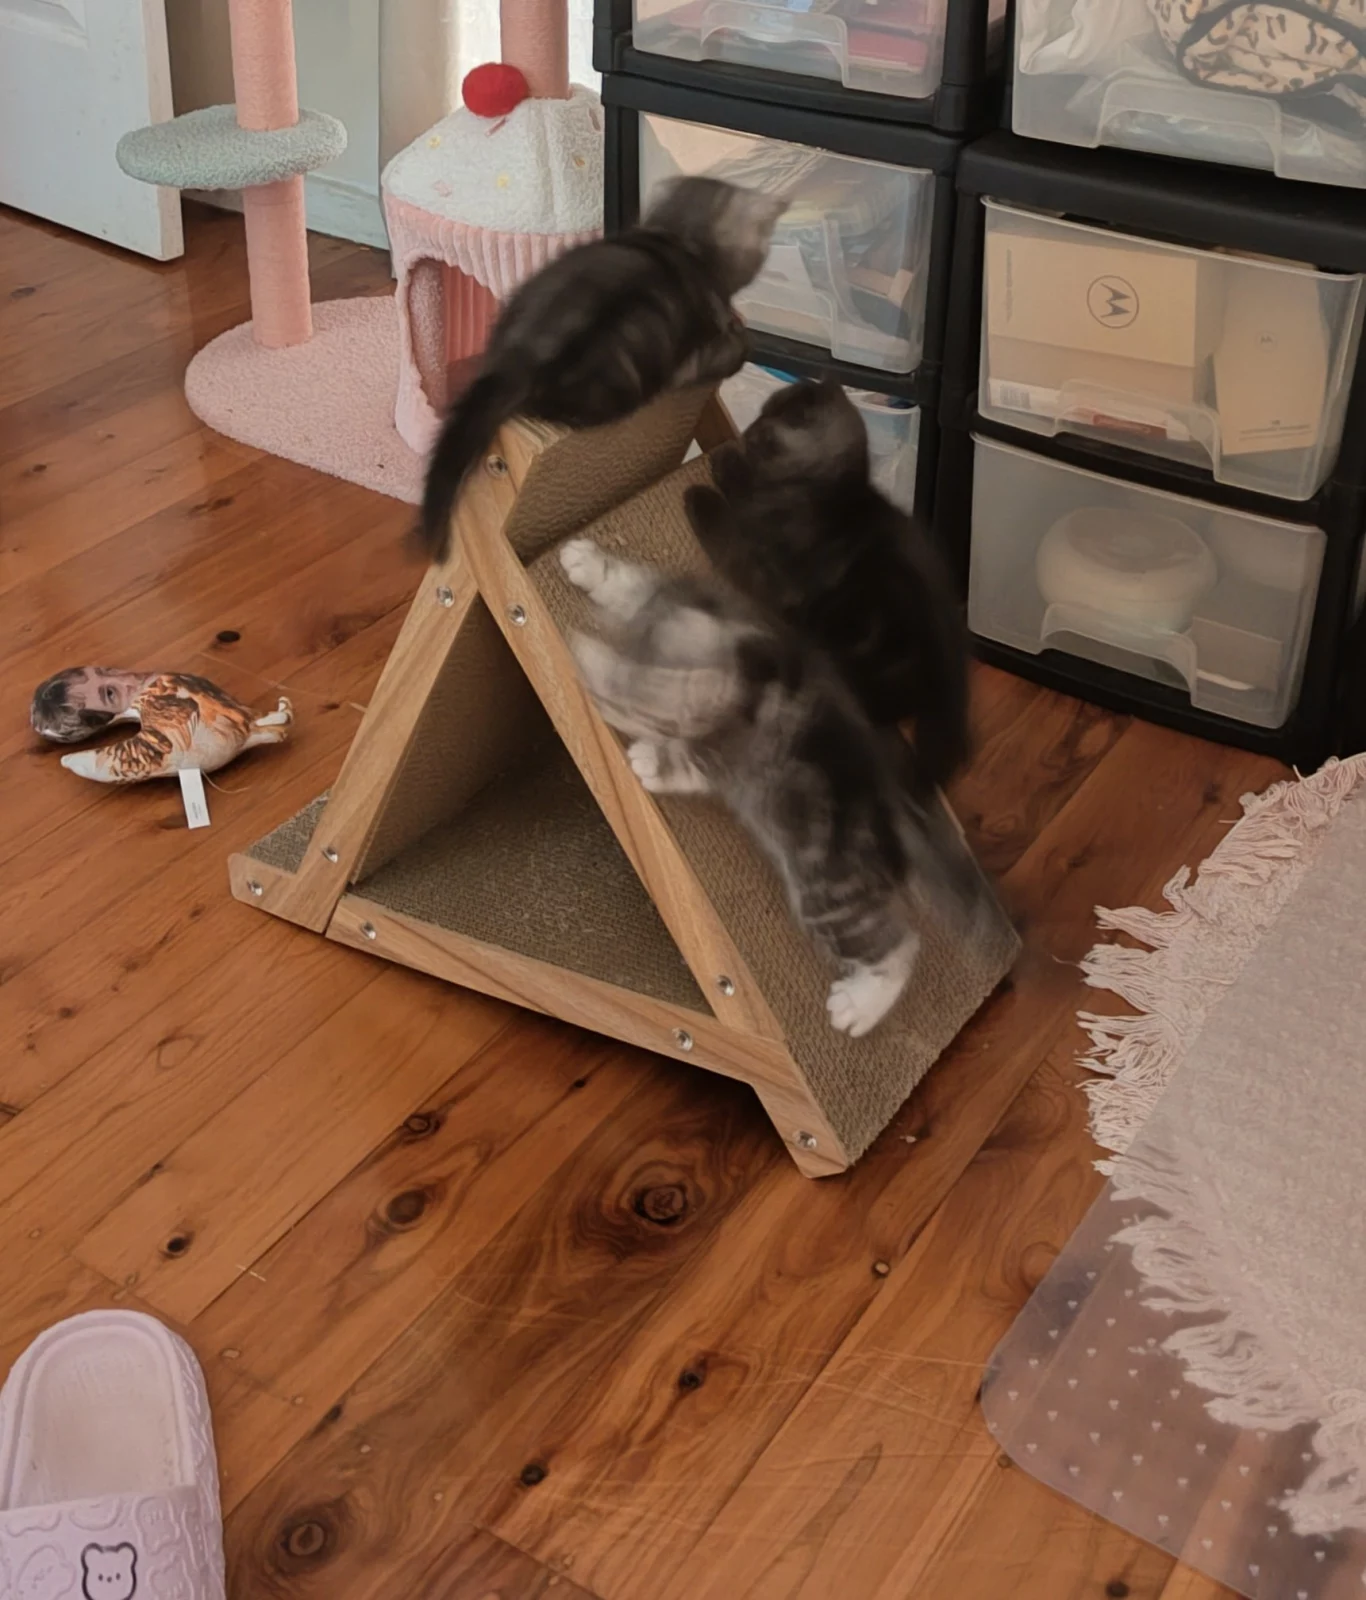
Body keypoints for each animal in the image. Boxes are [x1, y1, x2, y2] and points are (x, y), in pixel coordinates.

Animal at [560, 536, 984, 1038]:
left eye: (629, 708)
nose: (606, 695)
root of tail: (899, 816)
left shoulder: (730, 756)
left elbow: (685, 761)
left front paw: (648, 754)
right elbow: (634, 586)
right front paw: (590, 566)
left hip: (828, 892)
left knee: (901, 945)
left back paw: (860, 1005)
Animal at [682, 376, 970, 794]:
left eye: (766, 436)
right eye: (758, 414)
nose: (748, 432)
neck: (817, 492)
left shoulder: (763, 563)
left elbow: (730, 523)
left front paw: (715, 477)